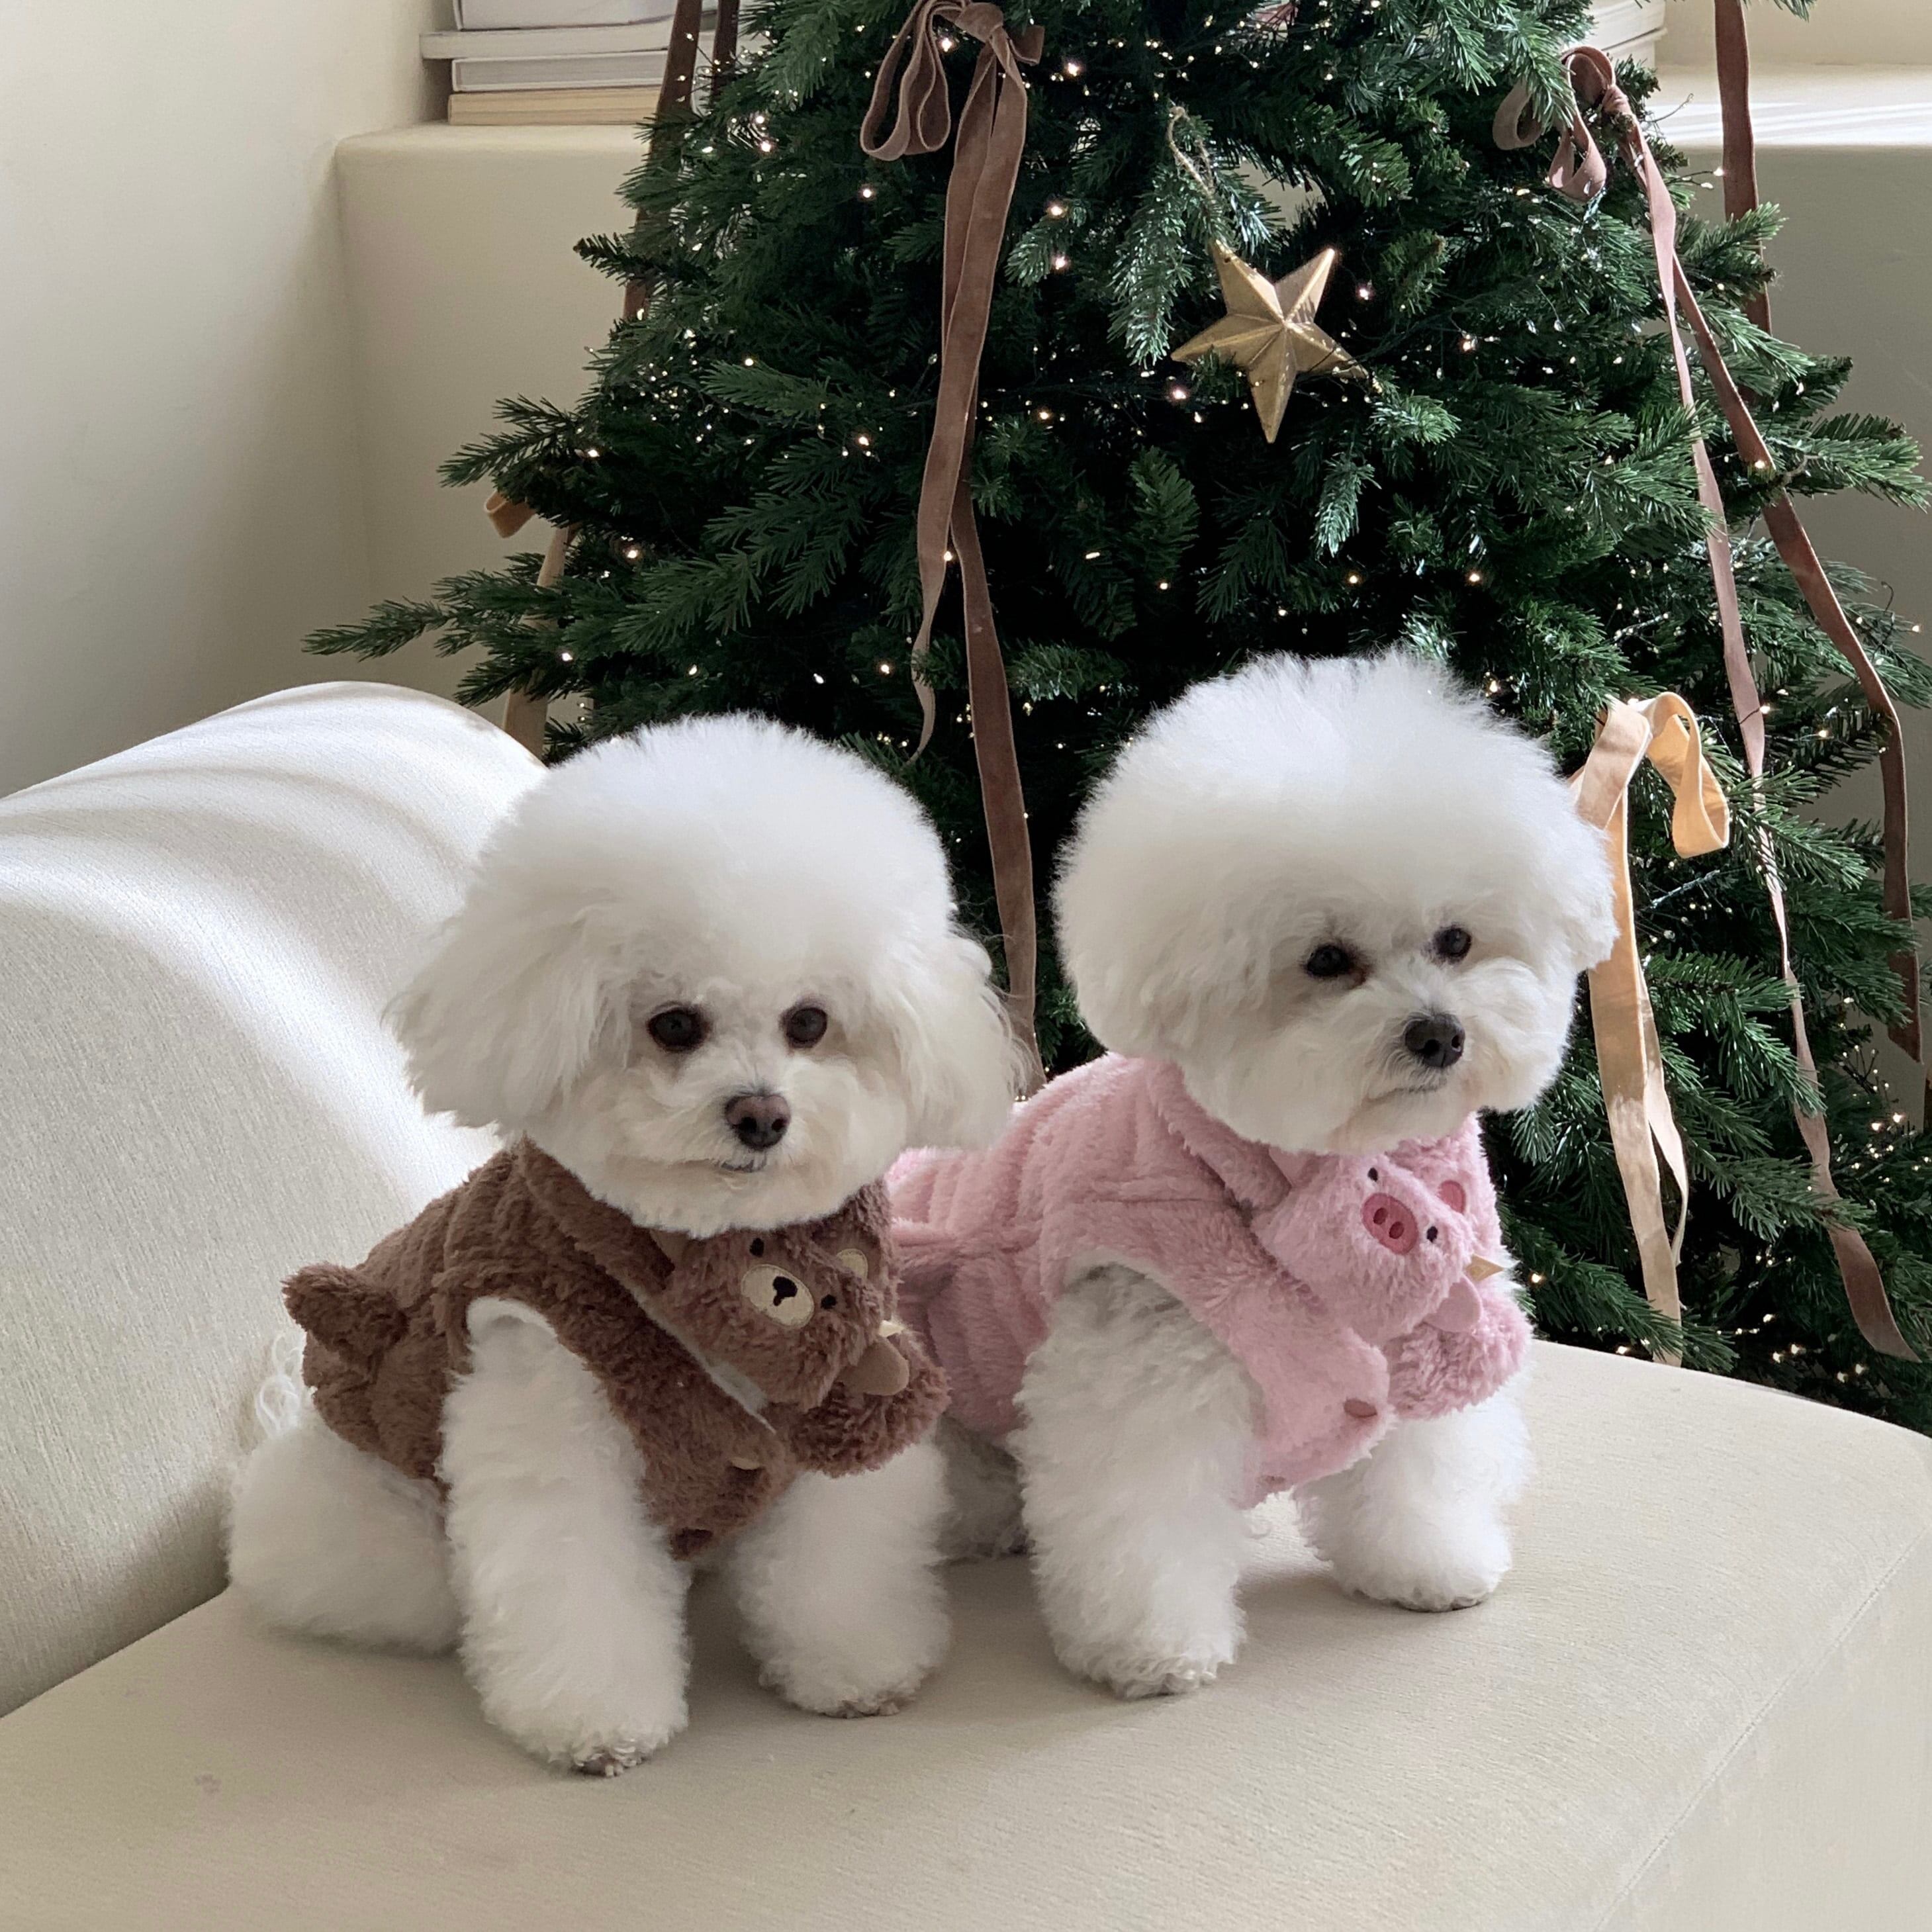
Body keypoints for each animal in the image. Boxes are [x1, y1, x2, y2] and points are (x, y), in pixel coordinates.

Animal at [229, 714, 1016, 1769]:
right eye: (673, 1024)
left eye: (809, 1021)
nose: (760, 1114)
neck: (712, 1252)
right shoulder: (550, 1405)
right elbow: (575, 1579)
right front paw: (594, 1723)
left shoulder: (844, 1385)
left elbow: (837, 1555)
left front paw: (856, 1667)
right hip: (387, 1535)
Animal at [898, 653, 1616, 1698]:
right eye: (1326, 960)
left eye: (1454, 940)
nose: (1438, 1033)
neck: (1324, 1165)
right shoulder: (1142, 1363)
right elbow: (1141, 1517)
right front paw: (1150, 1649)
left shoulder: (1430, 1320)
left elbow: (1420, 1460)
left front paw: (1424, 1563)